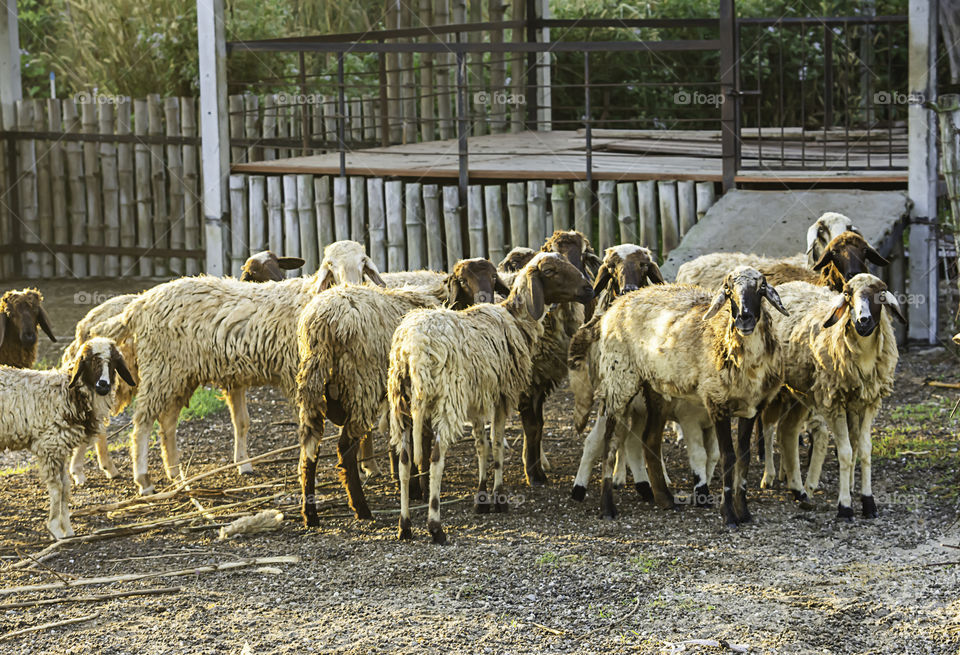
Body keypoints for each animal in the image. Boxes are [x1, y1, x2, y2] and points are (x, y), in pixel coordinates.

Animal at [0, 338, 135, 540]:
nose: (103, 385)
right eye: (90, 361)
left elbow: (65, 486)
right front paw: (55, 529)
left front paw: (68, 530)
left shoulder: (61, 448)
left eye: (113, 363)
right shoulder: (50, 446)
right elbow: (57, 487)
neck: (69, 392)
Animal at [296, 258, 510, 524]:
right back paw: (361, 509)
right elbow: (423, 440)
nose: (485, 300)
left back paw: (310, 513)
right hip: (361, 385)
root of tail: (322, 322)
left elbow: (403, 440)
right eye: (462, 280)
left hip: (313, 385)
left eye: (493, 277)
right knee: (344, 448)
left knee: (309, 448)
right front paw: (423, 486)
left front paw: (411, 485)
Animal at [390, 252, 592, 544]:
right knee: (436, 458)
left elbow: (481, 445)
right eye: (551, 271)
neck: (515, 318)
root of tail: (412, 348)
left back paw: (404, 526)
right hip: (446, 400)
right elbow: (496, 444)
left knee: (405, 461)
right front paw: (498, 497)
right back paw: (435, 526)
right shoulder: (502, 396)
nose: (589, 289)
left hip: (401, 405)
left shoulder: (478, 399)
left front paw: (482, 497)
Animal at [592, 266, 788, 528]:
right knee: (610, 441)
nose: (744, 318)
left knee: (650, 438)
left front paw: (744, 512)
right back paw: (607, 507)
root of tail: (620, 302)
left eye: (762, 287)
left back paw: (665, 499)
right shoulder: (716, 401)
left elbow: (744, 458)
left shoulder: (752, 407)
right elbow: (728, 457)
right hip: (619, 377)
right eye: (728, 290)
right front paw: (729, 515)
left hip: (655, 387)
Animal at [756, 274, 900, 520]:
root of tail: (786, 285)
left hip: (800, 391)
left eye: (880, 294)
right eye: (848, 294)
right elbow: (845, 452)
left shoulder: (869, 402)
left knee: (787, 430)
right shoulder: (834, 402)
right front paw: (845, 506)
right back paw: (770, 476)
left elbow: (864, 450)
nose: (863, 321)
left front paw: (868, 502)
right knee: (769, 426)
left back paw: (798, 490)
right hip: (779, 389)